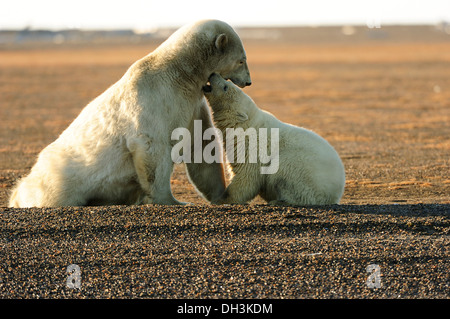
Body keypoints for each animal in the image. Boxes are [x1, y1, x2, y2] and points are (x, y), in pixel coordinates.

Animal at [9, 20, 253, 210]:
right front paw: (173, 201)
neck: (179, 73)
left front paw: (221, 196)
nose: (249, 81)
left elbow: (200, 144)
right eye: (242, 60)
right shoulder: (153, 97)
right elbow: (152, 147)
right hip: (61, 176)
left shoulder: (191, 103)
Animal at [204, 74, 344, 206]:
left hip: (303, 172)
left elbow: (246, 177)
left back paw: (279, 201)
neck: (246, 124)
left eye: (225, 87)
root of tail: (334, 195)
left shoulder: (252, 147)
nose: (213, 74)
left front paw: (220, 200)